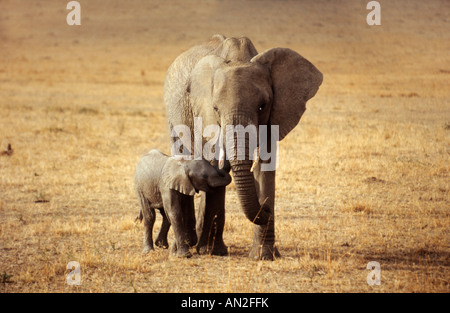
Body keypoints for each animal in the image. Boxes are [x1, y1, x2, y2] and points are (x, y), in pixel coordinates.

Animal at [163, 34, 322, 260]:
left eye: (262, 106)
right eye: (215, 109)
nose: (266, 209)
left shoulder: (274, 116)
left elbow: (265, 168)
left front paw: (264, 256)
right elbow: (214, 167)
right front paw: (213, 252)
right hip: (174, 116)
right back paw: (190, 246)